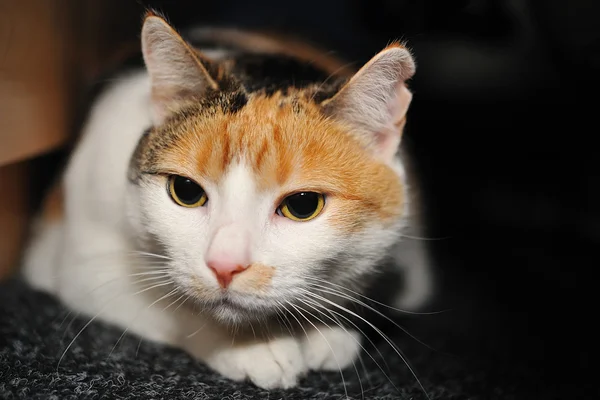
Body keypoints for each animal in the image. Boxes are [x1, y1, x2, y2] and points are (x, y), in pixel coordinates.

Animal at [22, 12, 432, 390]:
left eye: (303, 206)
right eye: (185, 192)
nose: (224, 265)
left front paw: (326, 330)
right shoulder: (82, 265)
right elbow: (169, 307)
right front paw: (253, 346)